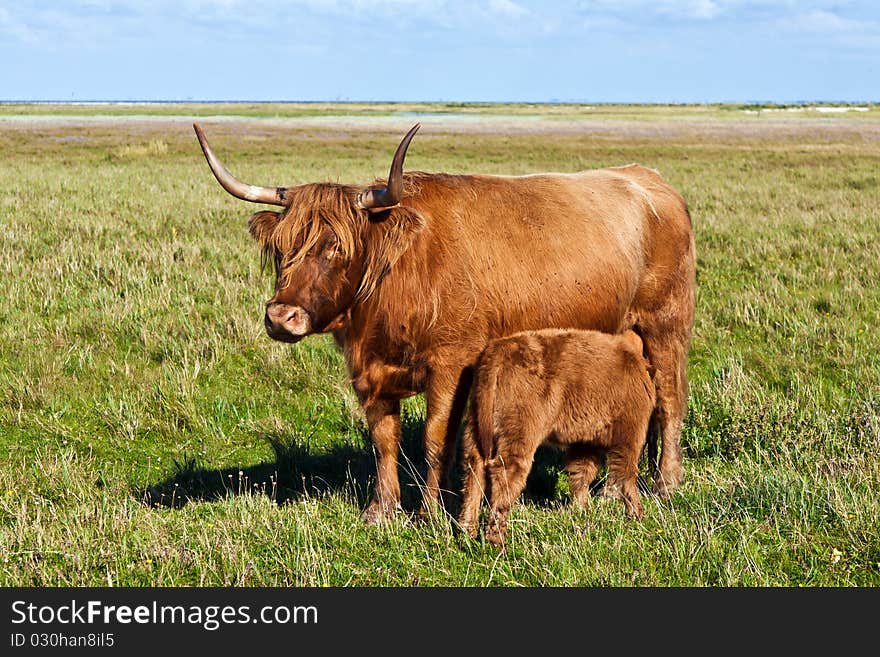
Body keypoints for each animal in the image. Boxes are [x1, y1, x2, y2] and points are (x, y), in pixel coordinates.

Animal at [458, 326, 656, 544]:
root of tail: (498, 351)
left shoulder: (585, 441)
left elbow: (582, 473)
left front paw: (580, 511)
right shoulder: (630, 433)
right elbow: (626, 474)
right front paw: (636, 515)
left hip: (475, 427)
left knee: (474, 469)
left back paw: (466, 532)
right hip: (519, 431)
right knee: (506, 472)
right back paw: (496, 540)